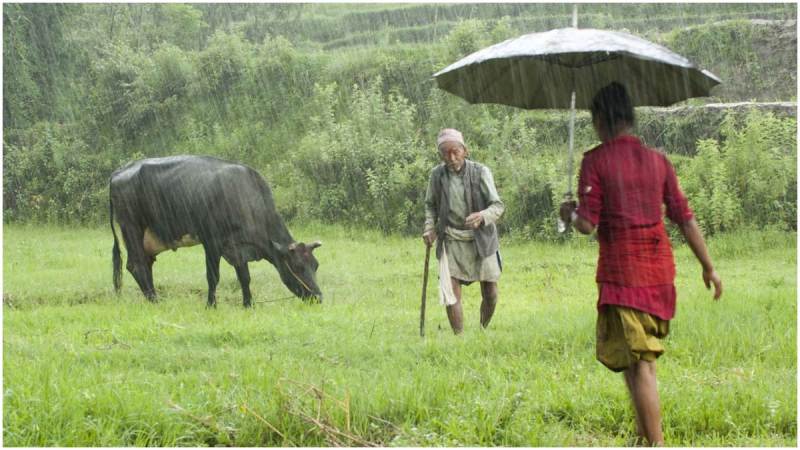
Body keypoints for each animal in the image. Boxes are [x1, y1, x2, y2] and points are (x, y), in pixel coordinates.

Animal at [110, 155, 322, 306]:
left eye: (316, 265)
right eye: (297, 266)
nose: (318, 297)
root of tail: (120, 171)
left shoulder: (238, 247)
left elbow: (244, 277)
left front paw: (249, 304)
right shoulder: (211, 241)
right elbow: (213, 277)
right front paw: (211, 305)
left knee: (145, 264)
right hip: (131, 228)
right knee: (136, 265)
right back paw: (154, 301)